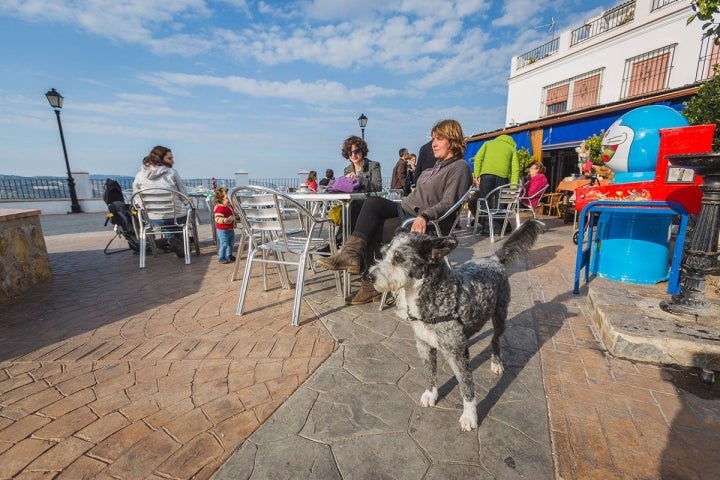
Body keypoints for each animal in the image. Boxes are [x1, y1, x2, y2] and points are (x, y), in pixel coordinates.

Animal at [368, 219, 544, 430]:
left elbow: (466, 386)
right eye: (383, 254)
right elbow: (429, 372)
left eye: (399, 258)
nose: (369, 277)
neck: (436, 295)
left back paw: (496, 362)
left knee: (495, 340)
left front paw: (469, 416)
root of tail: (493, 259)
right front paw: (431, 394)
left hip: (500, 317)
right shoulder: (423, 345)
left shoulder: (458, 353)